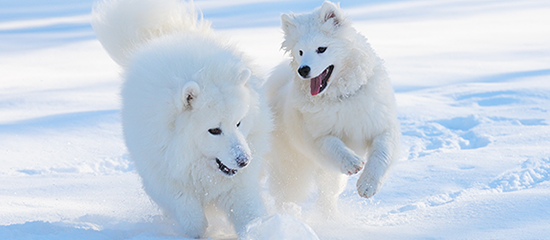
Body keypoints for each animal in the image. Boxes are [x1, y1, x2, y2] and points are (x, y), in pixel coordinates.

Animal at [264, 0, 402, 215]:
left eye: (321, 49)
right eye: (300, 52)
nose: (303, 70)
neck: (343, 96)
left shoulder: (383, 127)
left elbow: (382, 154)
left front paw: (368, 185)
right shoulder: (316, 136)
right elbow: (334, 146)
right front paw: (353, 162)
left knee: (327, 195)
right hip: (293, 168)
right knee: (287, 193)